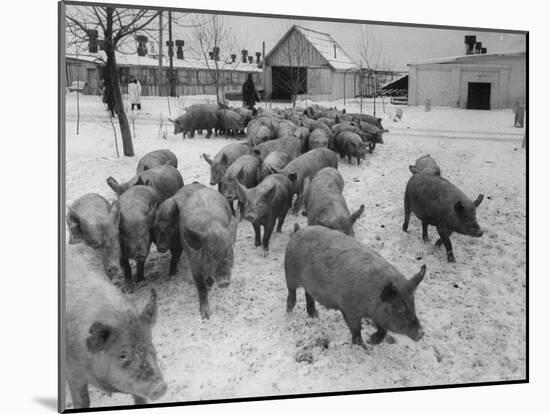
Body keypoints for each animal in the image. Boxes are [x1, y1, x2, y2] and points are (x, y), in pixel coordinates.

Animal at [64, 266, 166, 408]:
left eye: (149, 345)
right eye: (122, 355)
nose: (159, 387)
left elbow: (140, 399)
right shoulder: (72, 373)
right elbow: (82, 401)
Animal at [175, 183, 239, 318]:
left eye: (229, 252)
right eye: (209, 253)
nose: (224, 282)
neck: (212, 227)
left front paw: (209, 284)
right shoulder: (193, 265)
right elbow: (201, 288)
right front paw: (205, 315)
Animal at [284, 225, 426, 348]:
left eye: (413, 305)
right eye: (400, 308)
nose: (421, 333)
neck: (372, 296)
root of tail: (297, 233)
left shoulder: (376, 315)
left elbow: (383, 330)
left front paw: (371, 341)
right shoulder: (349, 308)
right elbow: (356, 329)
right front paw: (363, 346)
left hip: (308, 284)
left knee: (308, 295)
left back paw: (314, 315)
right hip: (289, 274)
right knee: (291, 294)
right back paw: (289, 315)